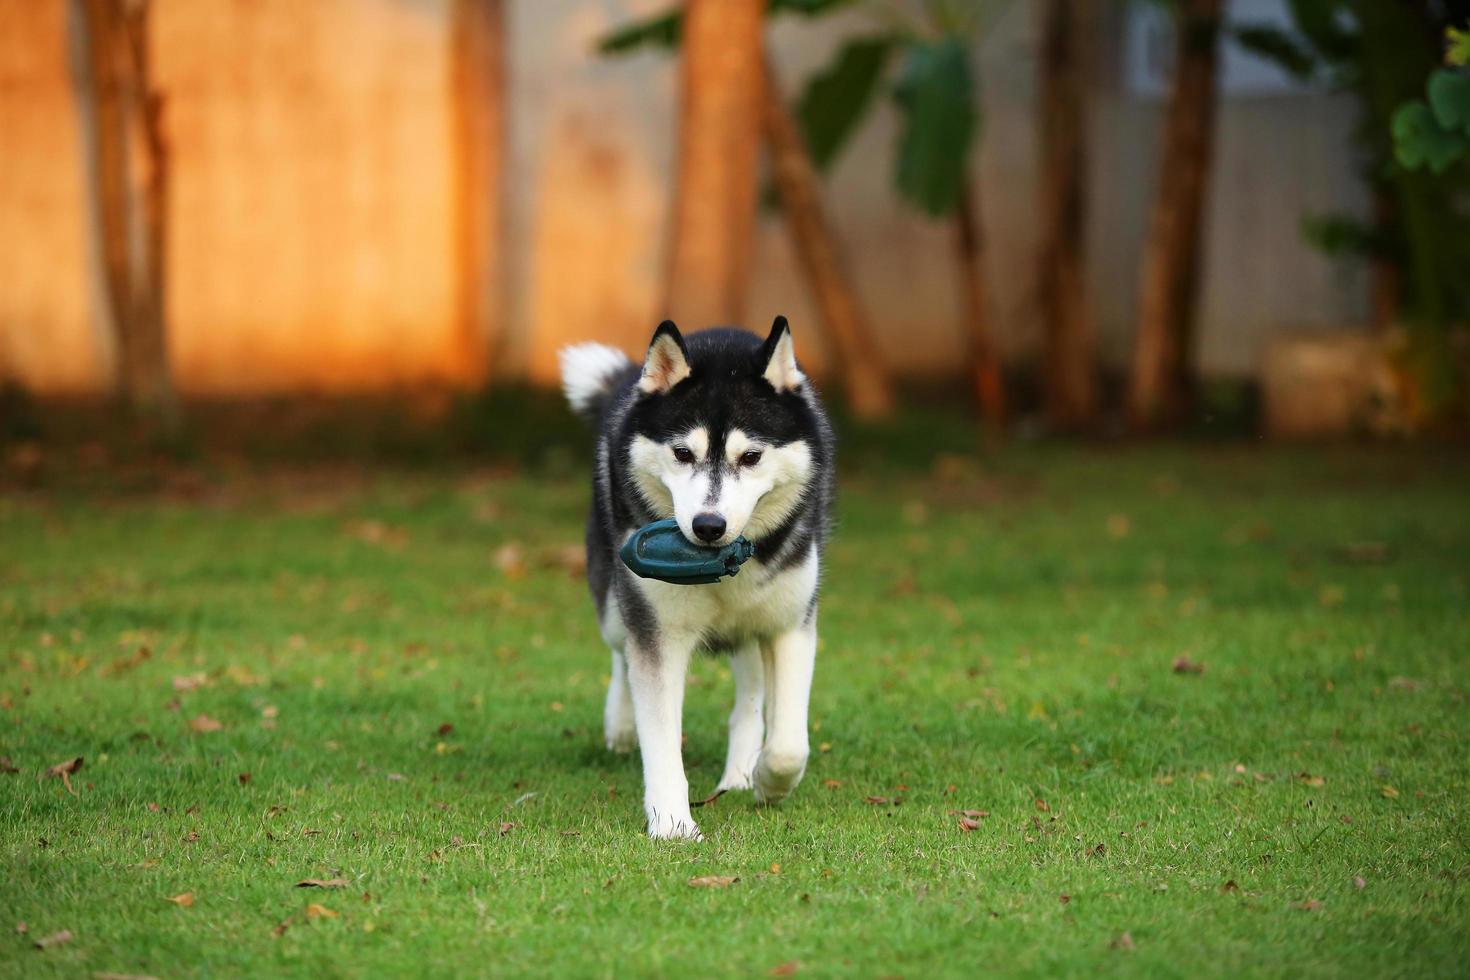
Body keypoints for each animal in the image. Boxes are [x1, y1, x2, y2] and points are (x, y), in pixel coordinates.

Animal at [561, 318, 834, 840]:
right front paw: (672, 822)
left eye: (751, 457)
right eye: (683, 453)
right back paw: (620, 725)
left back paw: (741, 770)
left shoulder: (791, 625)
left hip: (752, 626)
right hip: (613, 605)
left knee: (750, 693)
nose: (709, 525)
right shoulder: (658, 634)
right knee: (620, 654)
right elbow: (660, 732)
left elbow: (790, 744)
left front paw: (769, 781)